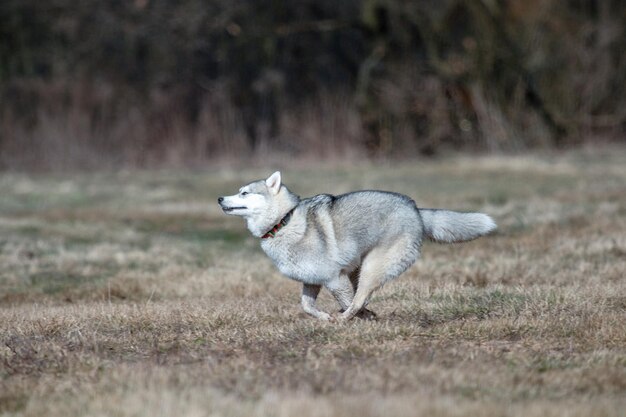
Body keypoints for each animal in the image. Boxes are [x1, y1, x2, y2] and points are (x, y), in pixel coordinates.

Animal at [217, 171, 494, 320]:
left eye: (244, 193)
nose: (219, 198)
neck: (283, 221)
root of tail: (415, 209)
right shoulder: (312, 280)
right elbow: (306, 306)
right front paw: (324, 317)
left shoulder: (334, 278)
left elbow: (349, 301)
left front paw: (355, 317)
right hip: (358, 270)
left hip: (372, 268)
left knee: (360, 297)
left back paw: (346, 320)